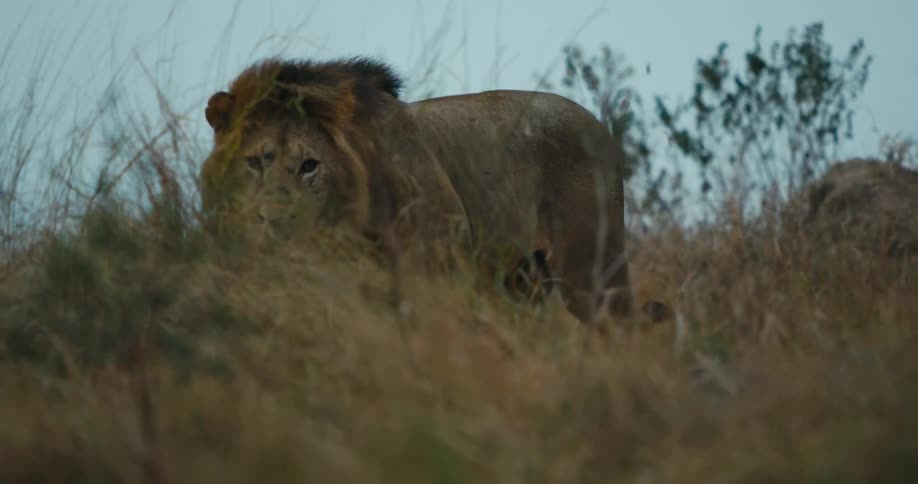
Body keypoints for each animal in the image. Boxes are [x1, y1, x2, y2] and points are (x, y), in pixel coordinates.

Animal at [199, 56, 634, 324]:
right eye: (256, 162)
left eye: (309, 166)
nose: (274, 222)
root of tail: (600, 126)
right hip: (523, 278)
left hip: (593, 272)